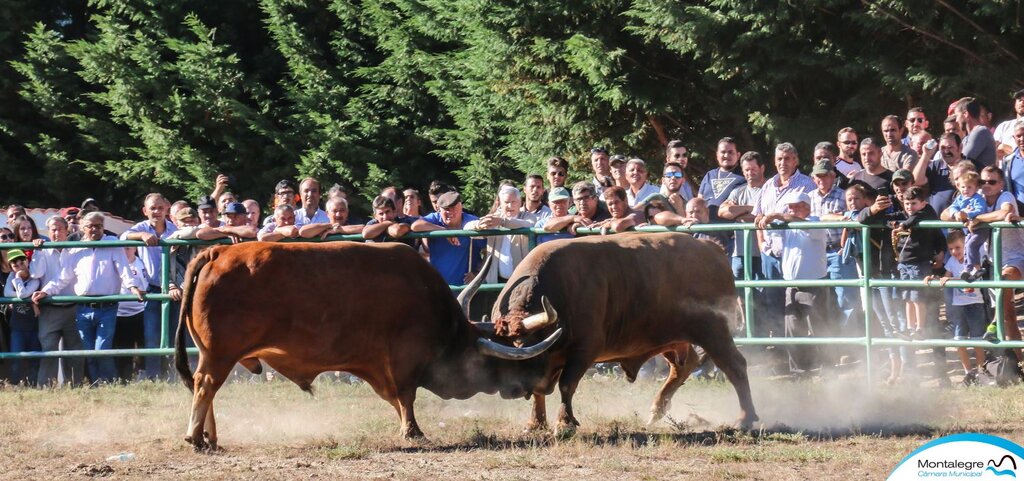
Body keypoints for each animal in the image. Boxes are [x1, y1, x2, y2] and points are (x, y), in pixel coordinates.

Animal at [175, 242, 561, 448]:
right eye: (501, 360)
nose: (525, 387)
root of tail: (218, 251)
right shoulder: (404, 359)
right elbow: (406, 396)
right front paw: (413, 432)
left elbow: (396, 398)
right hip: (220, 354)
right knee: (205, 385)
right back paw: (195, 437)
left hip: (212, 354)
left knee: (203, 387)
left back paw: (209, 438)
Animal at [475, 231, 757, 429]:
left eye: (523, 348)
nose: (509, 391)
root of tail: (711, 249)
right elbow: (539, 390)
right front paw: (535, 424)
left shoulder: (584, 350)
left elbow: (567, 385)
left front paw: (565, 424)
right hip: (670, 339)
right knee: (684, 366)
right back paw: (656, 412)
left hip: (714, 331)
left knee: (735, 365)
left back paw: (746, 418)